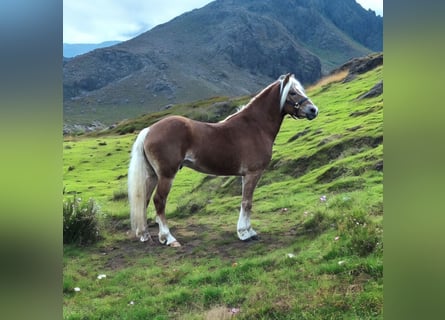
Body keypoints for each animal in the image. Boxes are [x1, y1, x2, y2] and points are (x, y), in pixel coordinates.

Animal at [126, 73, 318, 248]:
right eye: (292, 92)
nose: (313, 110)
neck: (255, 126)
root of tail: (150, 130)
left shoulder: (245, 176)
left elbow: (246, 201)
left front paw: (248, 231)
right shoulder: (253, 173)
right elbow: (247, 202)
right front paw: (245, 234)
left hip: (153, 175)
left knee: (144, 200)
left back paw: (144, 235)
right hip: (166, 176)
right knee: (159, 201)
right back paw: (168, 238)